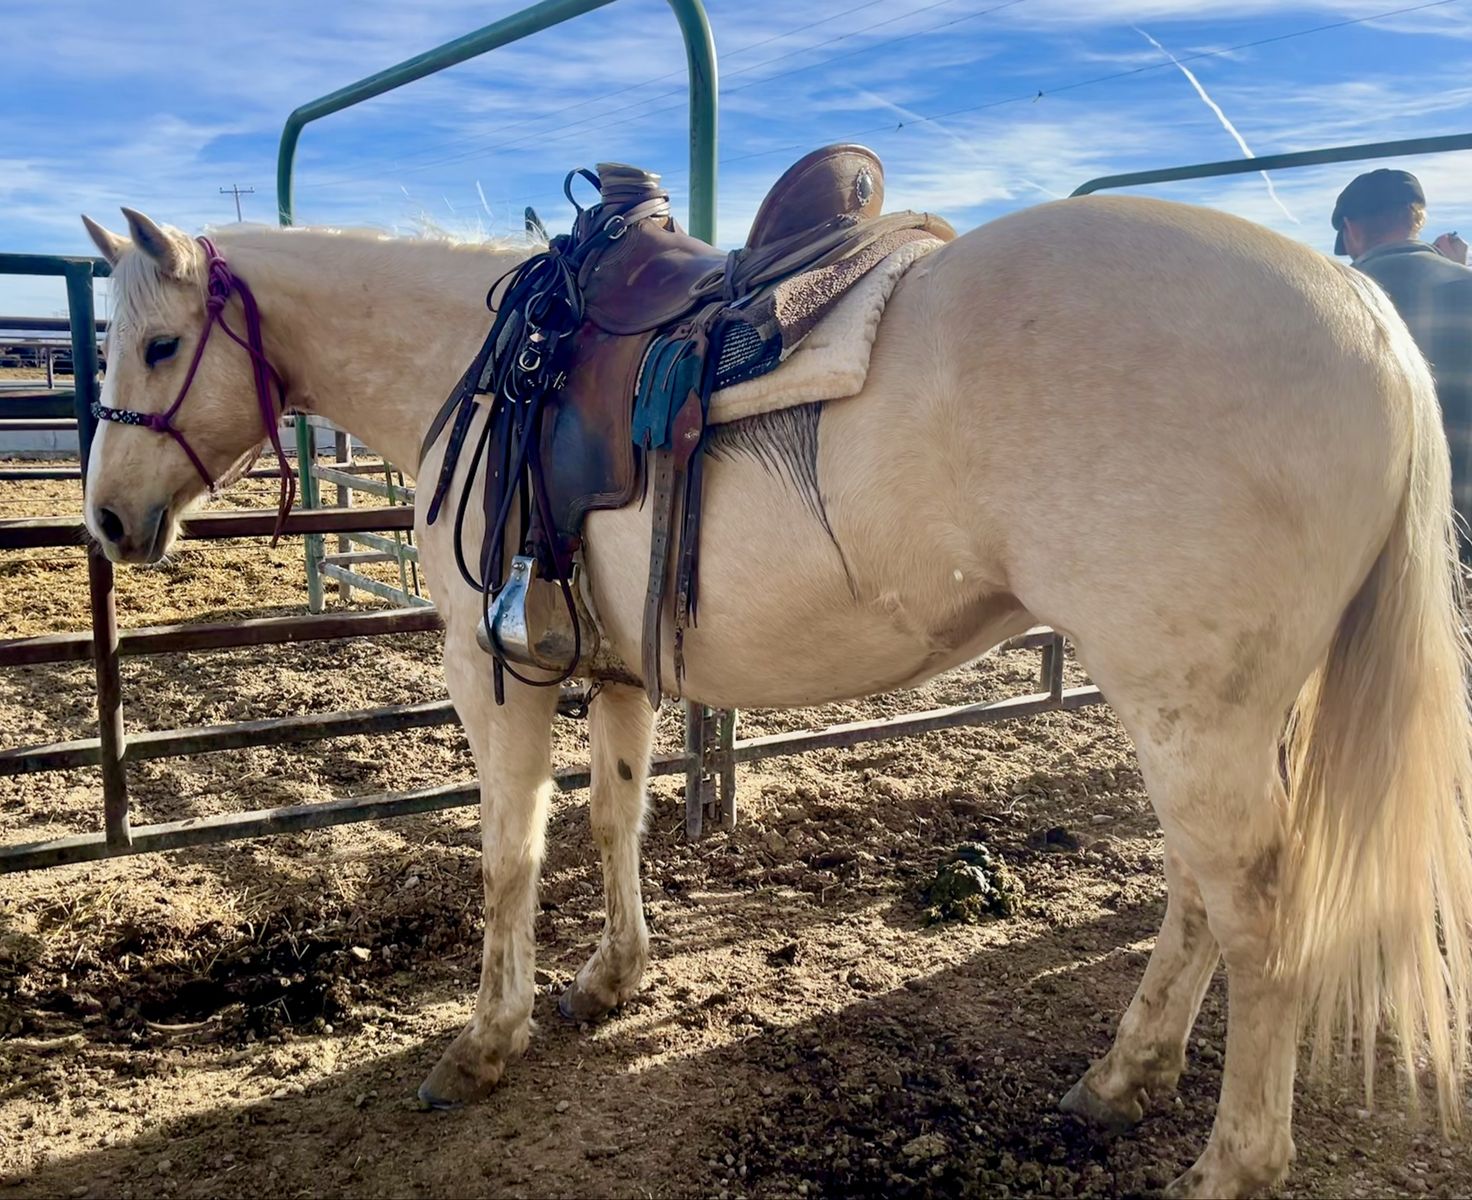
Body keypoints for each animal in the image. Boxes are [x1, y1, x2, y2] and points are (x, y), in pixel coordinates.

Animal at [79, 197, 1472, 1198]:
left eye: (158, 344)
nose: (106, 521)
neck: (476, 373)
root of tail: (1364, 313)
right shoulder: (615, 669)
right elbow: (613, 822)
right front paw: (612, 980)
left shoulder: (495, 671)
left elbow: (508, 856)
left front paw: (484, 1041)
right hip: (1219, 711)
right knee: (1195, 893)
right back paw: (1123, 1074)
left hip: (1191, 709)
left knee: (1255, 914)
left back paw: (1230, 1164)